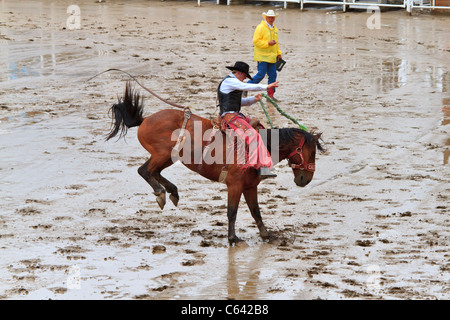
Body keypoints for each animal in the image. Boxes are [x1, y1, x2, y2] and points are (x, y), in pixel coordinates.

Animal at [105, 82, 324, 245]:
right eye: (312, 152)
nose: (306, 179)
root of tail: (145, 120)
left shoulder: (250, 186)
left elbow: (256, 212)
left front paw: (267, 235)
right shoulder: (234, 185)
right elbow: (232, 212)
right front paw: (233, 238)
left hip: (169, 157)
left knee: (154, 172)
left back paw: (172, 192)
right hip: (162, 154)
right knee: (144, 171)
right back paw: (161, 193)